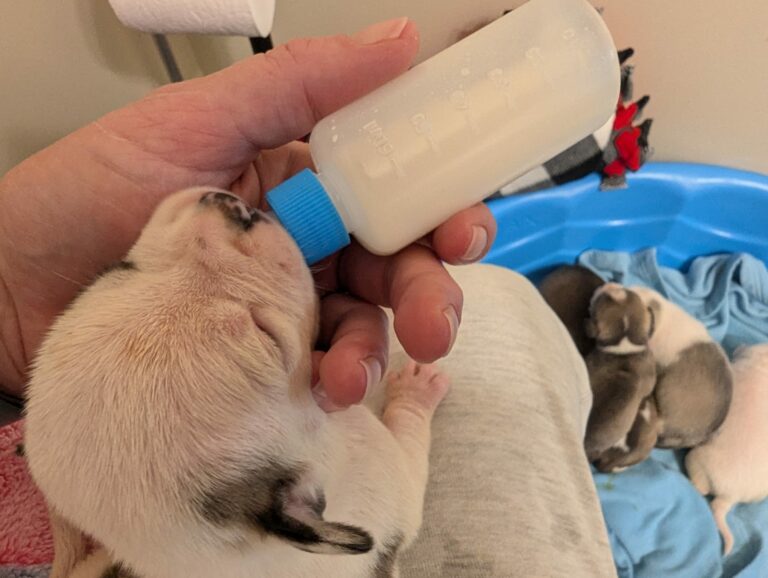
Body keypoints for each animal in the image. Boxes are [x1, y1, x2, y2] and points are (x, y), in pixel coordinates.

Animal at [22, 188, 450, 576]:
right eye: (266, 335)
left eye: (120, 270)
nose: (235, 209)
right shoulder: (387, 473)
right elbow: (411, 452)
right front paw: (417, 388)